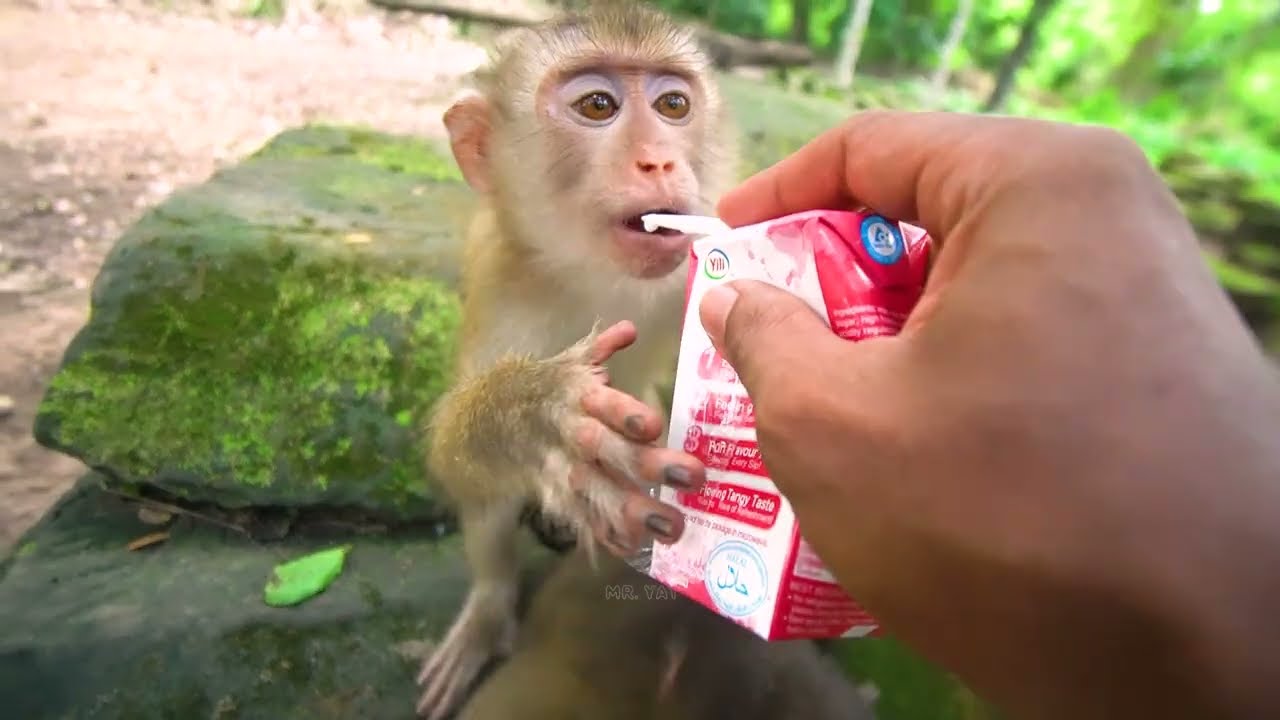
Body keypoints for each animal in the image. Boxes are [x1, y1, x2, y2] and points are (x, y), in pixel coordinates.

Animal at [413, 4, 874, 719]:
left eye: (673, 105)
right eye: (598, 105)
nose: (658, 160)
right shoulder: (505, 280)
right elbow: (462, 459)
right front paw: (538, 417)